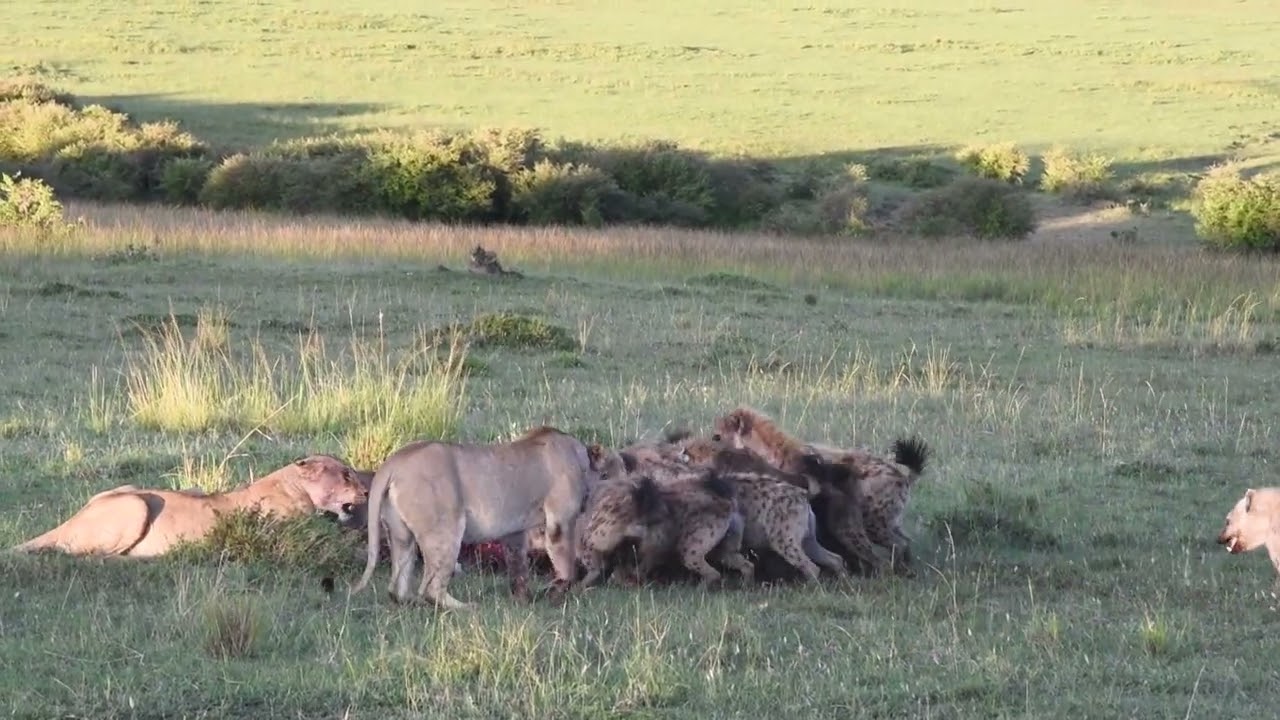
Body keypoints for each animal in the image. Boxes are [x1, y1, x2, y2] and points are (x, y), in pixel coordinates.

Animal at [350, 426, 599, 609]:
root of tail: (393, 462)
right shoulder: (561, 520)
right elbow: (566, 564)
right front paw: (558, 594)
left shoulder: (514, 533)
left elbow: (518, 566)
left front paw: (523, 599)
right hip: (446, 530)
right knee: (430, 589)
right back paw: (467, 608)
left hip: (401, 535)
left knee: (397, 587)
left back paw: (411, 604)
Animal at [713, 406, 930, 576]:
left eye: (717, 435)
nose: (709, 438)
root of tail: (902, 476)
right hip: (888, 521)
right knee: (904, 541)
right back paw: (906, 569)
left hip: (870, 523)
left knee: (891, 547)